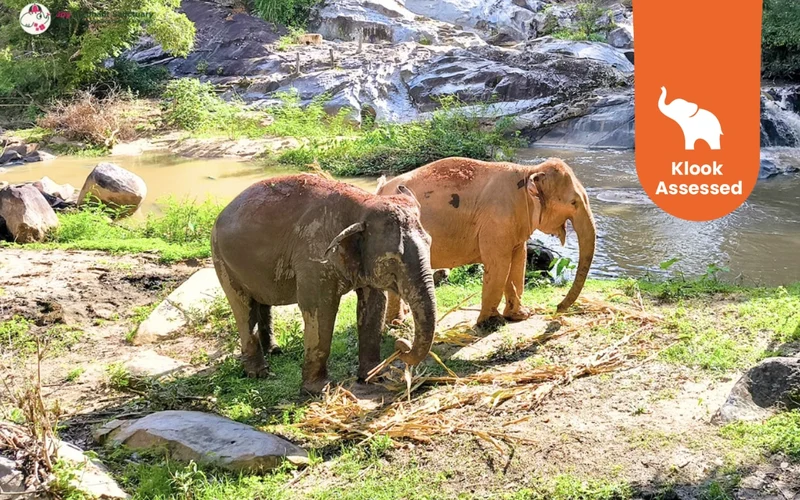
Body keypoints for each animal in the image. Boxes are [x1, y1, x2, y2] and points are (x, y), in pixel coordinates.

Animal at [211, 174, 437, 393]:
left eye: (430, 242)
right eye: (393, 259)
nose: (401, 345)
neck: (363, 205)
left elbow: (374, 304)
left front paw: (374, 378)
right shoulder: (313, 258)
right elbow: (320, 308)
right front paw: (319, 390)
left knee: (261, 301)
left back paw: (274, 350)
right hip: (222, 260)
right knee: (243, 308)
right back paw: (259, 373)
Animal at [376, 157, 596, 327]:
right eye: (573, 203)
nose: (557, 309)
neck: (529, 171)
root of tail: (380, 189)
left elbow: (519, 261)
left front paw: (520, 315)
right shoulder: (496, 221)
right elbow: (499, 264)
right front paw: (492, 323)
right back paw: (397, 323)